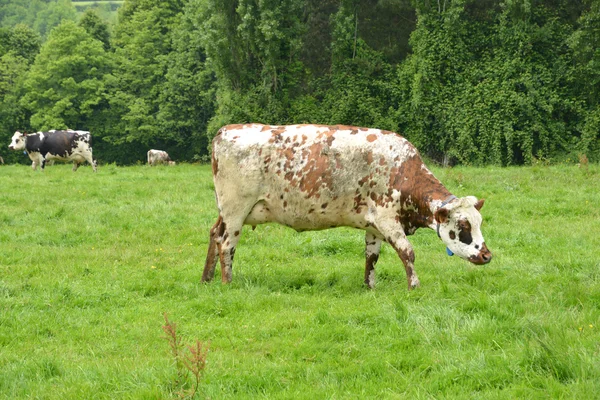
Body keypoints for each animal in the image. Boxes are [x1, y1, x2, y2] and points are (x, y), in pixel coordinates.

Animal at [202, 123, 492, 290]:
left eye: (479, 223)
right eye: (463, 226)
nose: (487, 255)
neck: (402, 172)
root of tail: (226, 129)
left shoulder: (374, 225)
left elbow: (371, 257)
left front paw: (369, 286)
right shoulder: (388, 219)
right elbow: (407, 252)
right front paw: (414, 285)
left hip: (225, 212)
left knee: (214, 234)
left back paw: (207, 278)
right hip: (235, 210)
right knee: (226, 244)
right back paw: (227, 283)